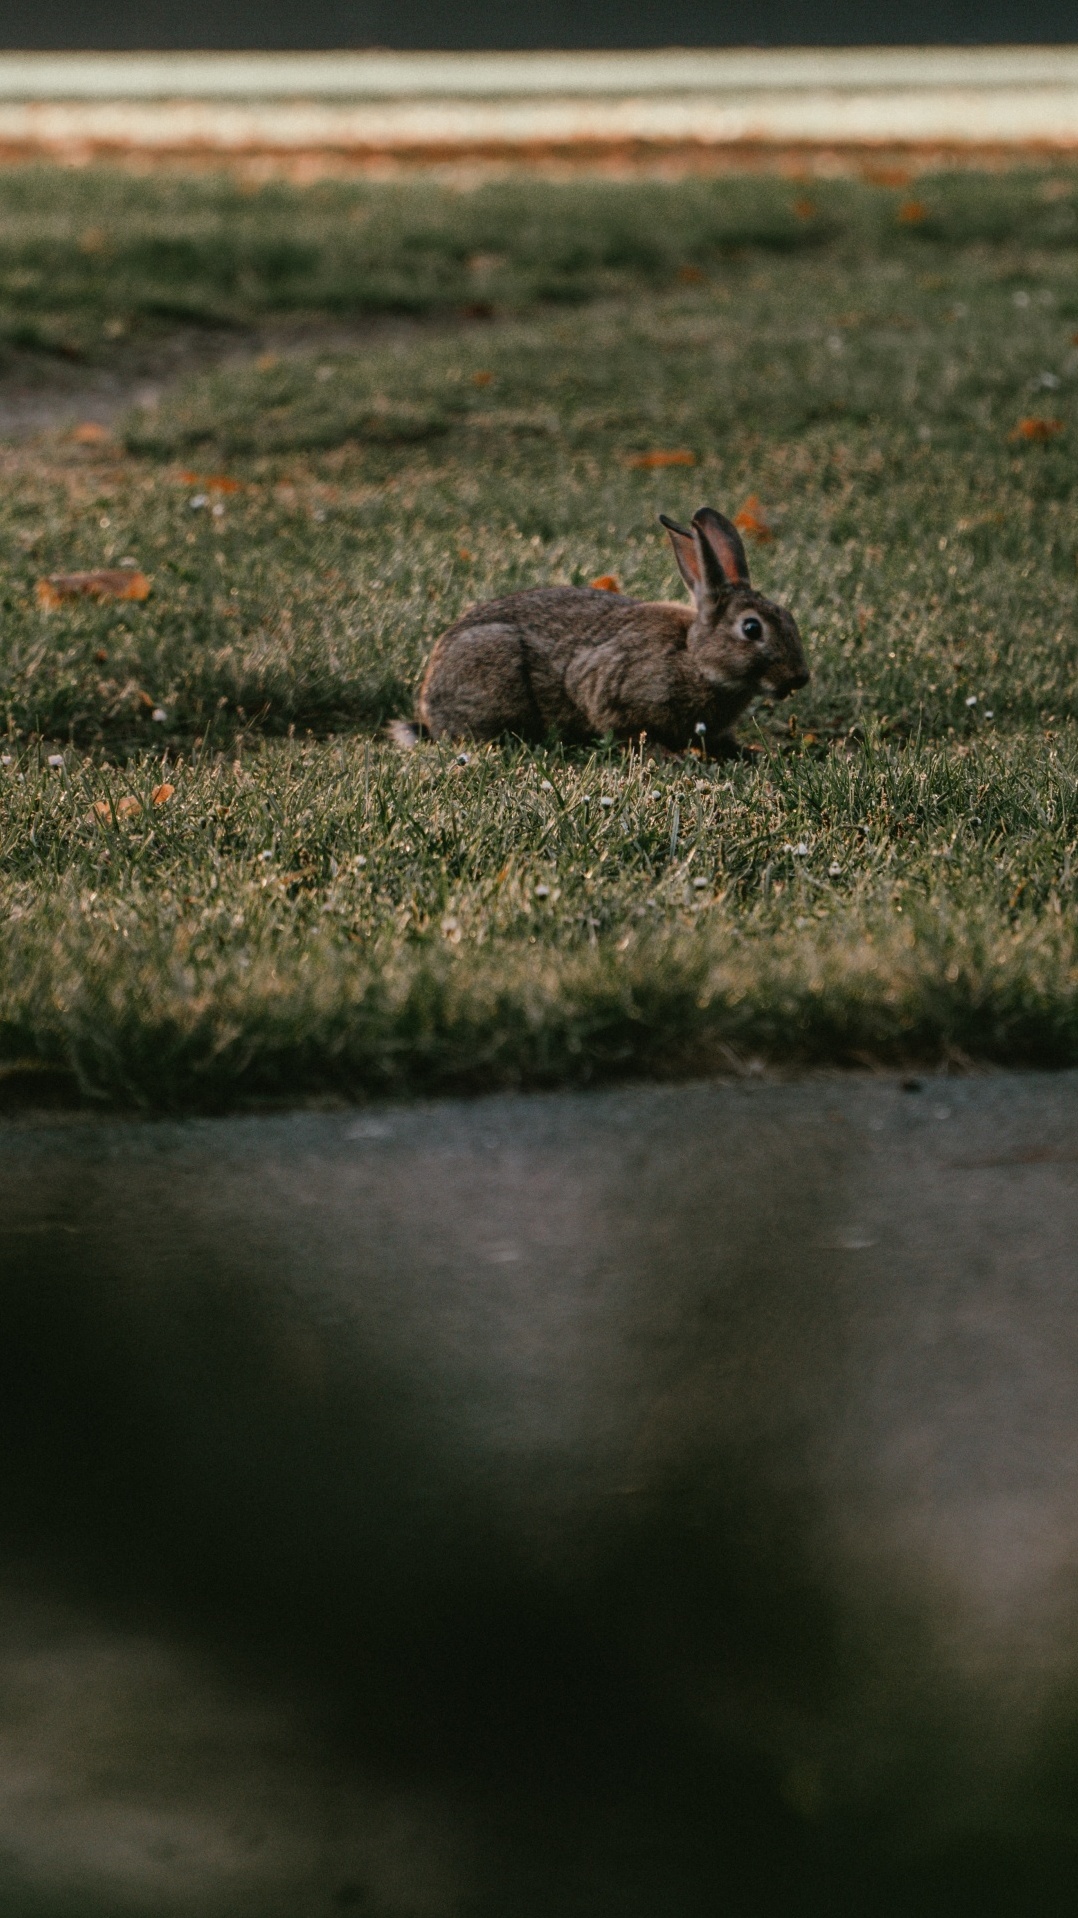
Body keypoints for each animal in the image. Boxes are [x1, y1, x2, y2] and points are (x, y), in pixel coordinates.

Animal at [402, 506, 805, 751]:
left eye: (789, 617)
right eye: (751, 628)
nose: (799, 678)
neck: (695, 658)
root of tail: (429, 699)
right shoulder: (606, 685)